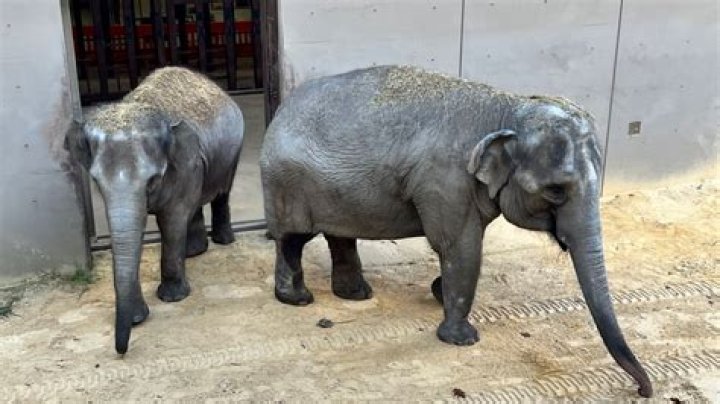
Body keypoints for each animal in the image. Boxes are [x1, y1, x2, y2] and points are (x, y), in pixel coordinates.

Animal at [65, 66, 244, 354]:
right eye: (96, 181)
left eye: (152, 180)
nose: (121, 350)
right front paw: (137, 318)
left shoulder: (185, 163)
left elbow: (172, 219)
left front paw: (172, 298)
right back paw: (193, 252)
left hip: (233, 150)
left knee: (222, 191)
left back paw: (223, 241)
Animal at [259, 65, 652, 397]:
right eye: (556, 191)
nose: (642, 390)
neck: (508, 107)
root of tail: (279, 113)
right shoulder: (446, 180)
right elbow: (459, 246)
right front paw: (462, 339)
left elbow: (463, 248)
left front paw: (439, 293)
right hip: (289, 183)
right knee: (293, 238)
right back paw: (298, 299)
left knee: (340, 234)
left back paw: (356, 295)